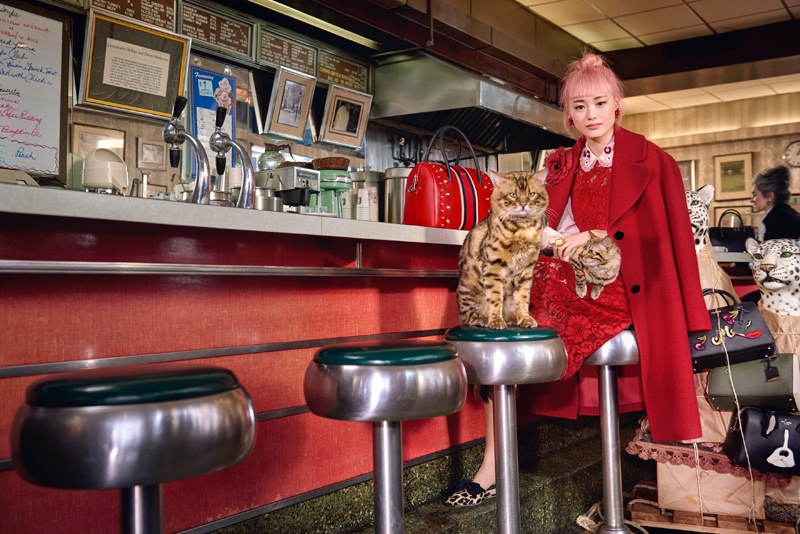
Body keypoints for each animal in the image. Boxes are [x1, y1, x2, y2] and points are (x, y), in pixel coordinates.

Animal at [460, 172, 548, 330]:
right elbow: (495, 297)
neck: (522, 230)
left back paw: (512, 319)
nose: (523, 204)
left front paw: (525, 319)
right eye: (513, 194)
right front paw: (496, 321)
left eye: (531, 194)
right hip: (469, 289)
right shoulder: (493, 266)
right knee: (467, 316)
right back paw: (482, 318)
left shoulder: (526, 269)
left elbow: (523, 298)